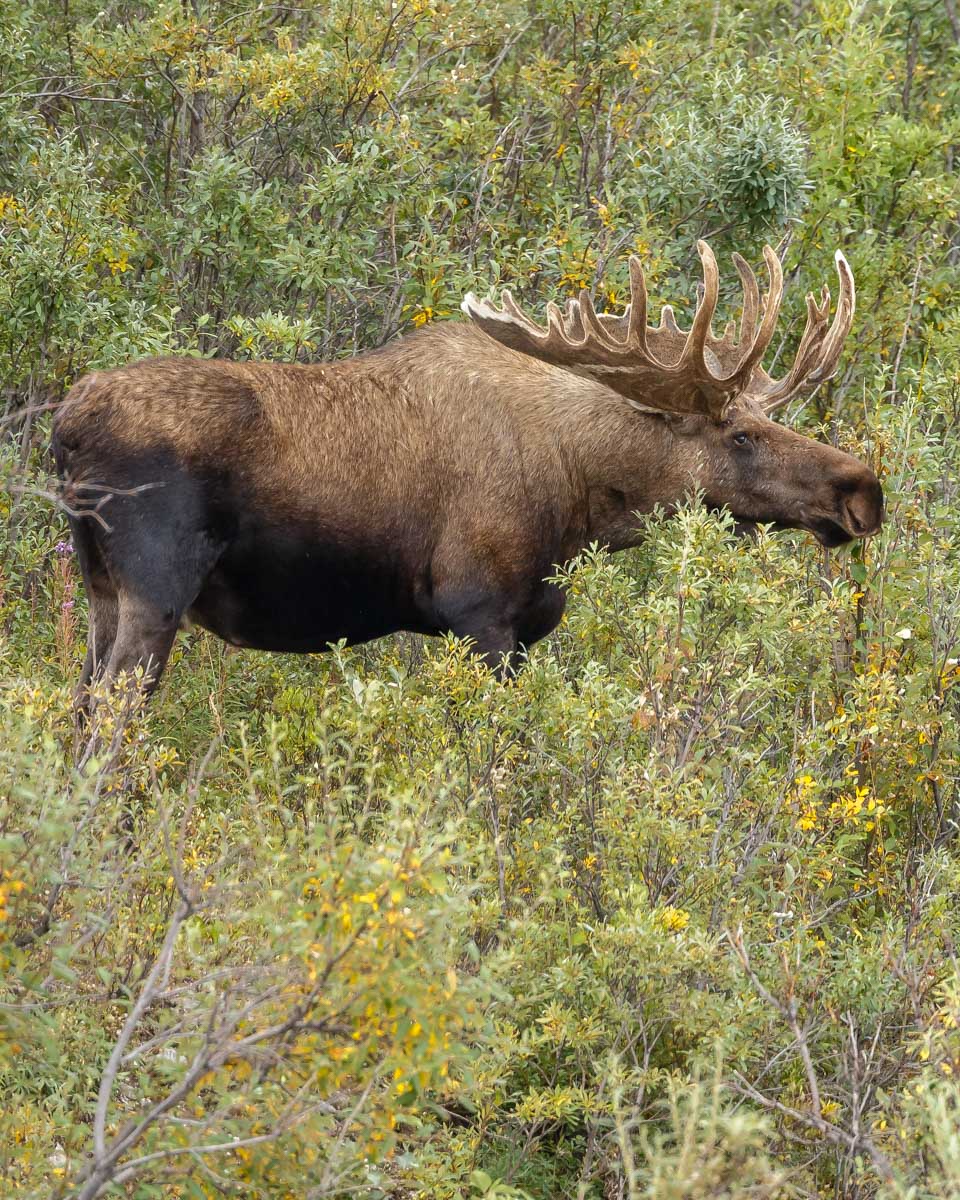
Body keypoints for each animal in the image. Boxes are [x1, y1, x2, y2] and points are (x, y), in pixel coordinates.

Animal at [53, 239, 883, 716]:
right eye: (742, 435)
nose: (862, 490)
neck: (580, 502)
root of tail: (64, 430)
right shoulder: (479, 611)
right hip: (156, 585)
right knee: (110, 731)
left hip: (100, 589)